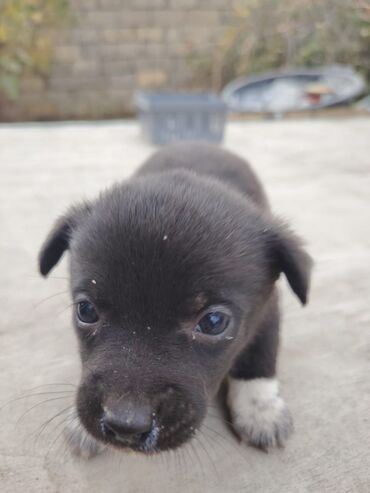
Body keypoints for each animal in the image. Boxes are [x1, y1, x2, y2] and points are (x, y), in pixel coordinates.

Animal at [39, 142, 312, 458]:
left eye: (214, 322)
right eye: (86, 310)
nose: (125, 425)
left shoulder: (269, 310)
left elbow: (260, 358)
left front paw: (261, 410)